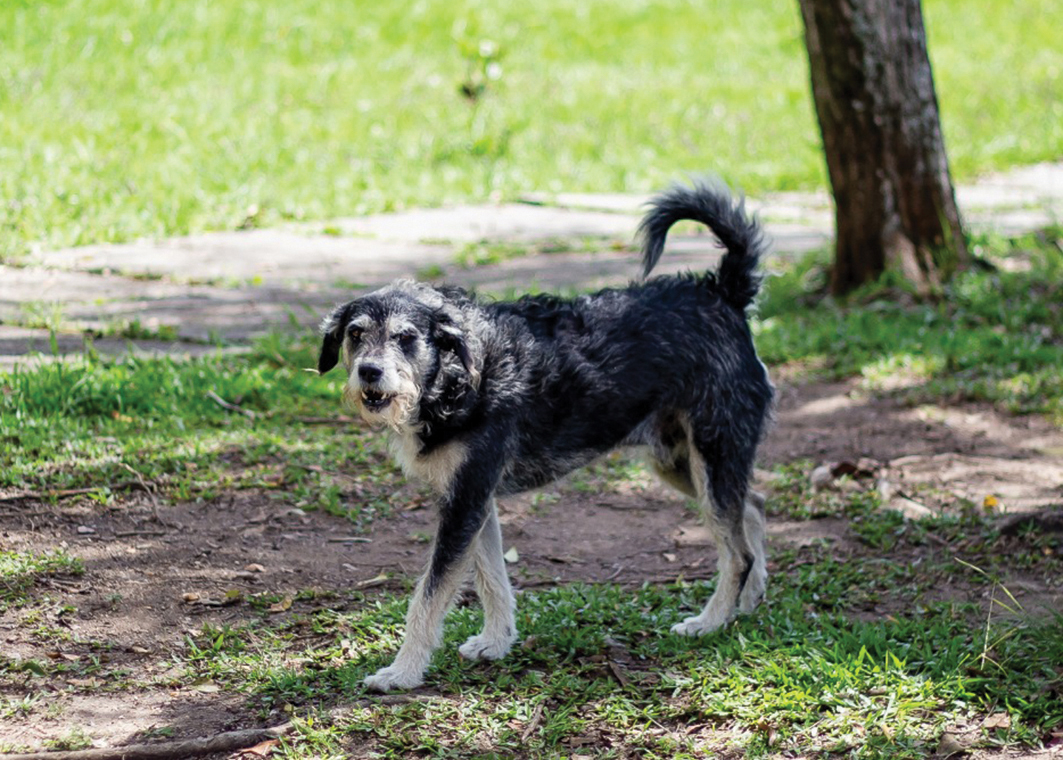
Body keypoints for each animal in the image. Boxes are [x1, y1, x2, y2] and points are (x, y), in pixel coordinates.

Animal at [314, 181, 773, 693]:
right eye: (355, 334)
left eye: (405, 337)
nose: (369, 372)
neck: (460, 375)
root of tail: (721, 293)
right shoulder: (474, 503)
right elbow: (493, 578)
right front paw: (496, 642)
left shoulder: (465, 503)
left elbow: (429, 596)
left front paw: (403, 671)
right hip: (682, 463)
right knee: (751, 510)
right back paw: (747, 602)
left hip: (711, 455)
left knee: (736, 551)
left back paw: (711, 622)